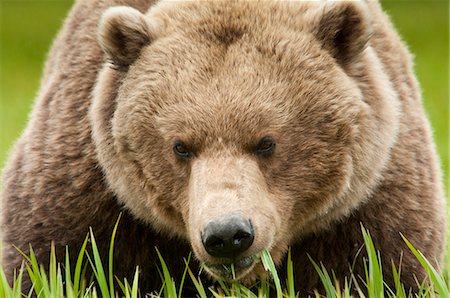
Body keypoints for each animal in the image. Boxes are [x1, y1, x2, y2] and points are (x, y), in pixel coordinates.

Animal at [1, 0, 448, 294]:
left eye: (267, 142)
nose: (228, 234)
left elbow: (385, 268)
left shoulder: (370, 205)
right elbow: (50, 260)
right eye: (180, 146)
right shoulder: (88, 193)